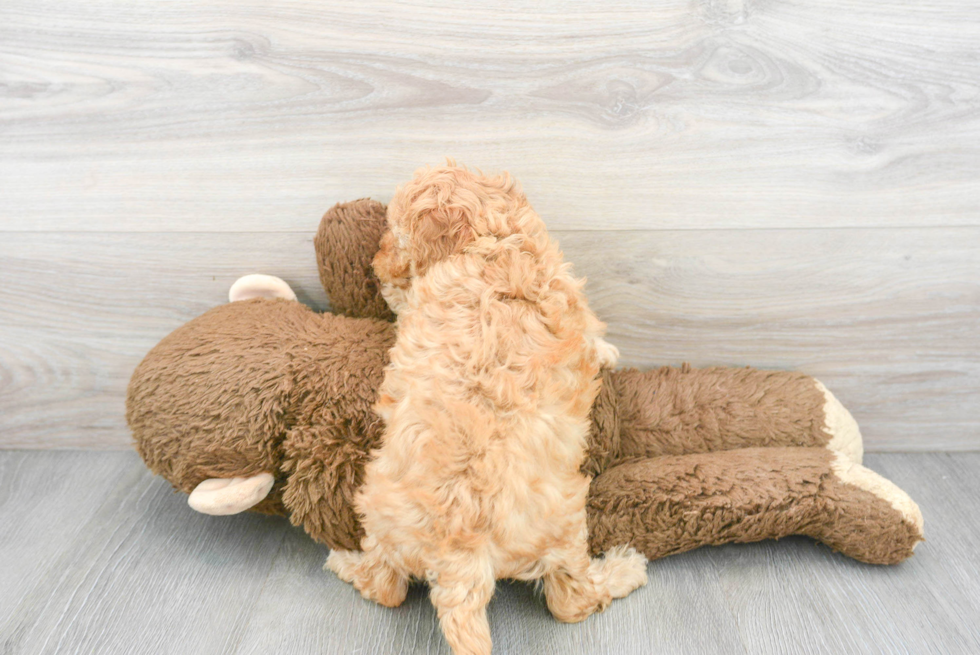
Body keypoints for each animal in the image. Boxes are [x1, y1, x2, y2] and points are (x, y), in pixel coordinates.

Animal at [330, 165, 648, 655]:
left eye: (394, 235)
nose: (375, 266)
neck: (491, 240)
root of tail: (461, 554)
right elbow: (593, 340)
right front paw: (610, 353)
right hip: (565, 522)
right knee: (571, 601)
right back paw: (626, 568)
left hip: (380, 507)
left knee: (386, 587)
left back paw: (344, 562)